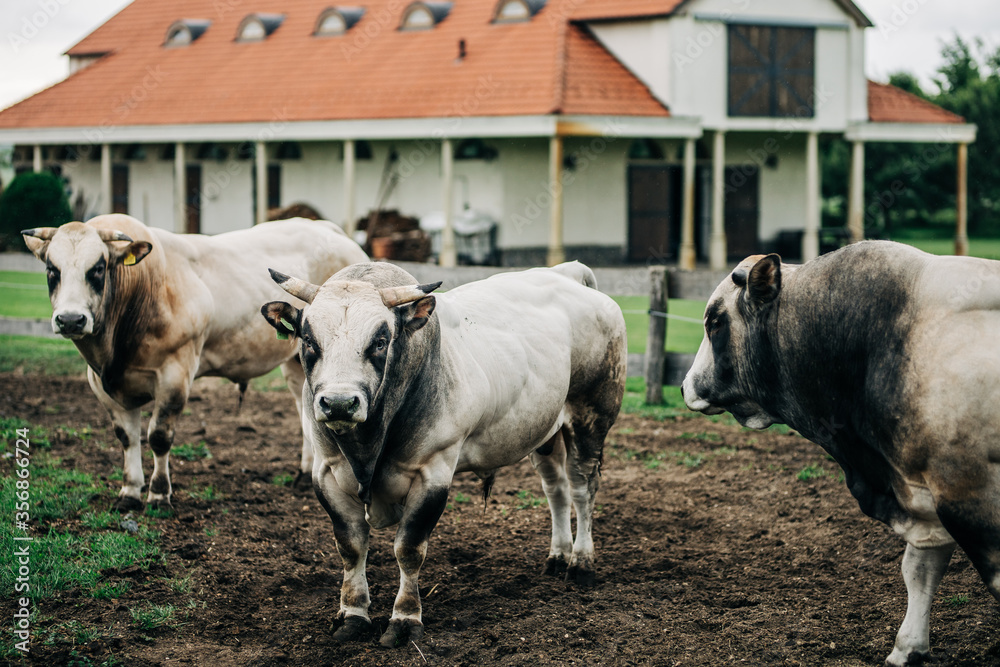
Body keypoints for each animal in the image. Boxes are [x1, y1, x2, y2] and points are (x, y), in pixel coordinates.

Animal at [22, 214, 369, 510]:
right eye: (52, 270)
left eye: (97, 268)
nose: (70, 319)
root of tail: (326, 228)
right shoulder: (101, 384)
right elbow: (126, 437)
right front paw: (130, 492)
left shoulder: (175, 374)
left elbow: (159, 436)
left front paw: (159, 494)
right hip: (298, 364)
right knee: (304, 410)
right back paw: (304, 473)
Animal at [260, 261, 627, 647]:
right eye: (309, 340)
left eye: (380, 341)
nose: (340, 403)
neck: (367, 447)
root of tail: (568, 272)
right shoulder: (326, 474)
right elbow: (351, 547)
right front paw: (352, 614)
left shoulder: (432, 474)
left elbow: (408, 549)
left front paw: (405, 619)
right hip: (545, 433)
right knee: (556, 489)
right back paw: (558, 555)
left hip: (591, 417)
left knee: (582, 488)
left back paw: (581, 562)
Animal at [681, 240, 1000, 666]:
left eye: (715, 322)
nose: (685, 385)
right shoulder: (922, 486)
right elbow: (920, 569)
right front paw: (908, 647)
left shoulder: (966, 493)